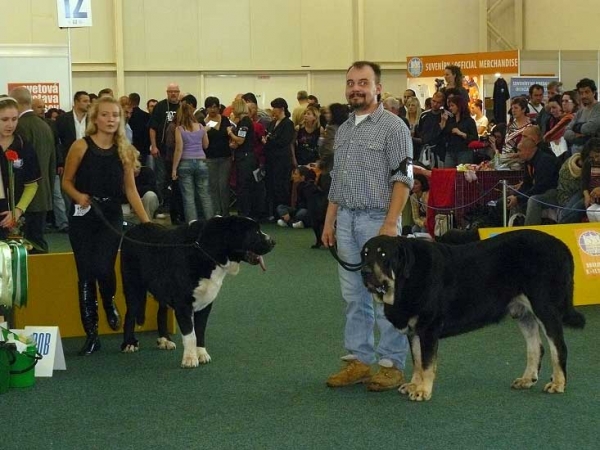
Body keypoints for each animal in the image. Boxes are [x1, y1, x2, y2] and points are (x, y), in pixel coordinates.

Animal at [120, 216, 276, 368]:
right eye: (255, 232)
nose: (273, 242)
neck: (207, 250)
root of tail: (133, 228)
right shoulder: (183, 304)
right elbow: (190, 334)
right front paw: (189, 359)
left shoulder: (205, 302)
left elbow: (200, 331)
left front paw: (201, 354)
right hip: (133, 286)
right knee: (130, 313)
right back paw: (129, 343)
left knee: (161, 313)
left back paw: (165, 340)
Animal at [360, 230, 584, 402]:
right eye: (365, 254)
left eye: (383, 254)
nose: (364, 271)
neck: (405, 280)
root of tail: (562, 247)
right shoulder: (414, 331)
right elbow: (417, 361)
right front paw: (414, 385)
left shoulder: (429, 328)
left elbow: (426, 364)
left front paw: (423, 390)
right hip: (524, 312)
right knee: (536, 348)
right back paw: (527, 379)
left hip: (545, 307)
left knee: (558, 347)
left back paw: (558, 383)